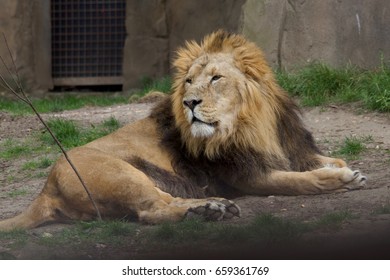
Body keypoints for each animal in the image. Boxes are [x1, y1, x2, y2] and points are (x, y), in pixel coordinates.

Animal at [0, 30, 366, 231]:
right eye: (189, 81)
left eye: (216, 78)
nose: (190, 102)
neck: (252, 125)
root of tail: (45, 189)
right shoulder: (249, 176)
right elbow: (299, 180)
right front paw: (343, 179)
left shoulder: (289, 150)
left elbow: (321, 160)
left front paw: (343, 168)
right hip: (121, 173)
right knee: (152, 210)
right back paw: (207, 210)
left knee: (164, 202)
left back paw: (211, 208)